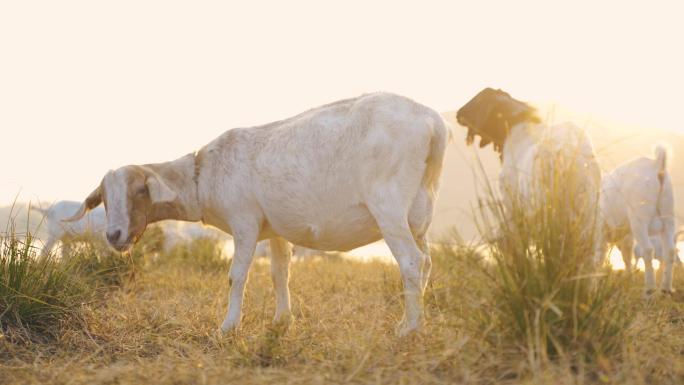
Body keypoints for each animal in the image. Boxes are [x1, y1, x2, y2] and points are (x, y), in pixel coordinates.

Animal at [600, 146, 676, 292]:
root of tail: (656, 163)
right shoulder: (625, 235)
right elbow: (626, 256)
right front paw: (629, 280)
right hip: (668, 216)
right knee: (669, 250)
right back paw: (666, 289)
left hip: (639, 219)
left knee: (648, 249)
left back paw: (650, 288)